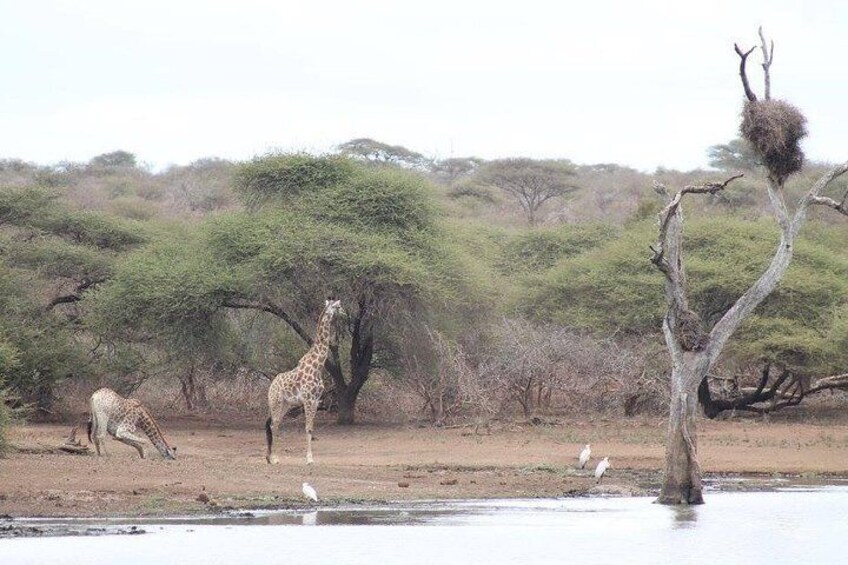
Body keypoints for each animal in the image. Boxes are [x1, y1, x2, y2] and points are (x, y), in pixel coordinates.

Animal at [266, 298, 342, 464]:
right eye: (338, 306)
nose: (345, 313)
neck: (318, 365)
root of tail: (271, 386)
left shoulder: (316, 400)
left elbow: (311, 428)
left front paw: (310, 457)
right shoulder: (308, 399)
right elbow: (307, 428)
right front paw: (309, 459)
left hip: (286, 404)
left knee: (275, 424)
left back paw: (270, 458)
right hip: (276, 401)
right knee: (274, 425)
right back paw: (274, 458)